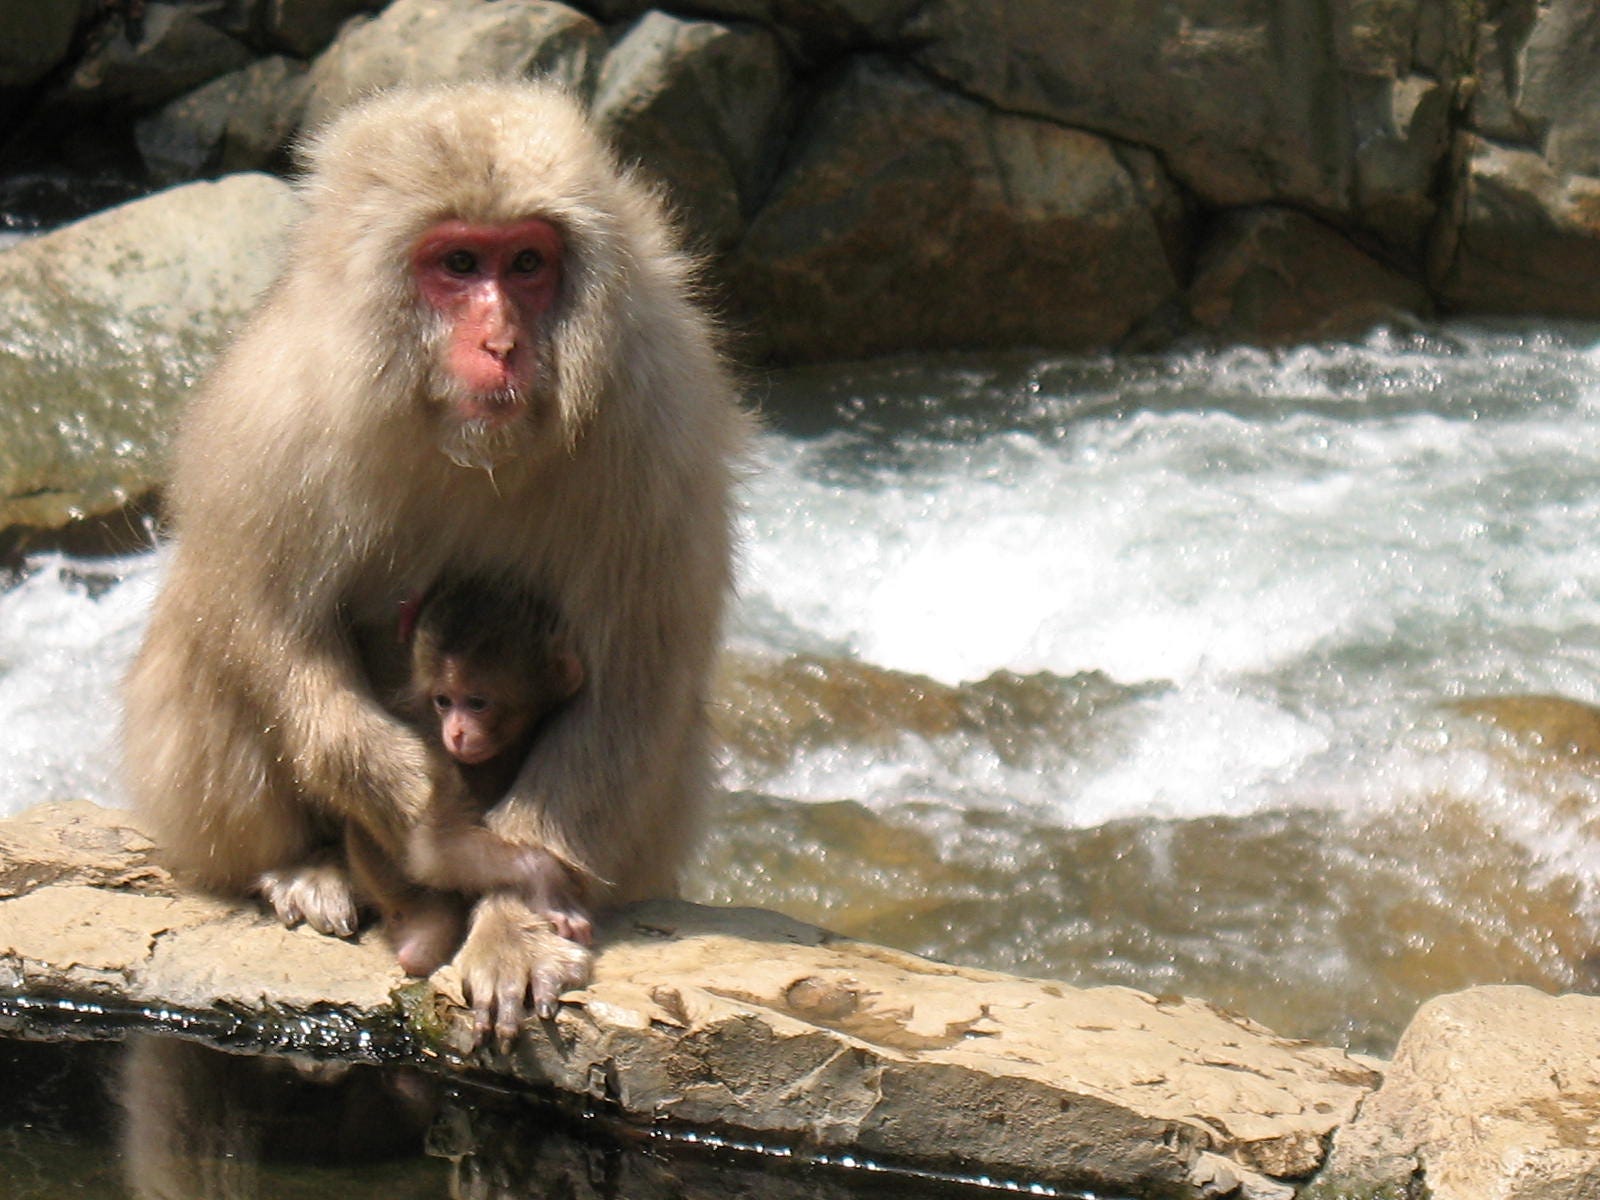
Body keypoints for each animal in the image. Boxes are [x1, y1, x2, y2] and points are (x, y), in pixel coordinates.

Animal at [123, 80, 754, 1044]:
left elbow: (631, 684)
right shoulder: (272, 404)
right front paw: (415, 797)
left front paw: (516, 919)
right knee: (209, 633)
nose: (500, 342)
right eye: (458, 263)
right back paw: (298, 867)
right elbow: (265, 621)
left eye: (526, 263)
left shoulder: (659, 420)